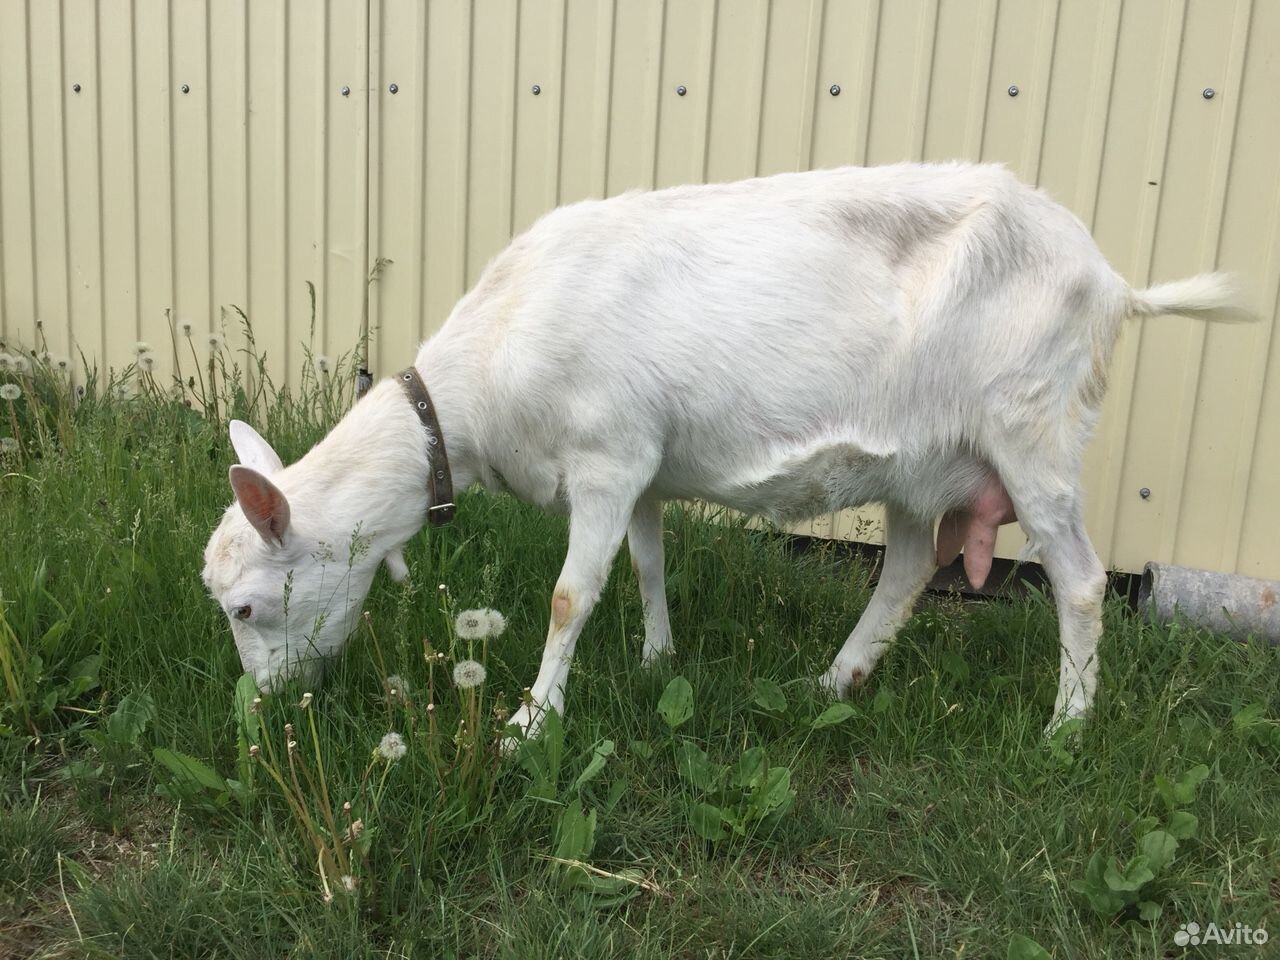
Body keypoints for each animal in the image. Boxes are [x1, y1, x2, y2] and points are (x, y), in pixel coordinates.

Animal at [202, 163, 1249, 737]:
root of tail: (1113, 283)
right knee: (910, 567)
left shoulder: (607, 456)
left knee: (1078, 581)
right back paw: (836, 680)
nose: (266, 708)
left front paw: (531, 723)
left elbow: (570, 594)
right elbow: (649, 564)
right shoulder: (643, 465)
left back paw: (1065, 728)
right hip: (922, 461)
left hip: (1035, 430)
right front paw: (658, 660)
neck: (491, 360)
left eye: (248, 606)